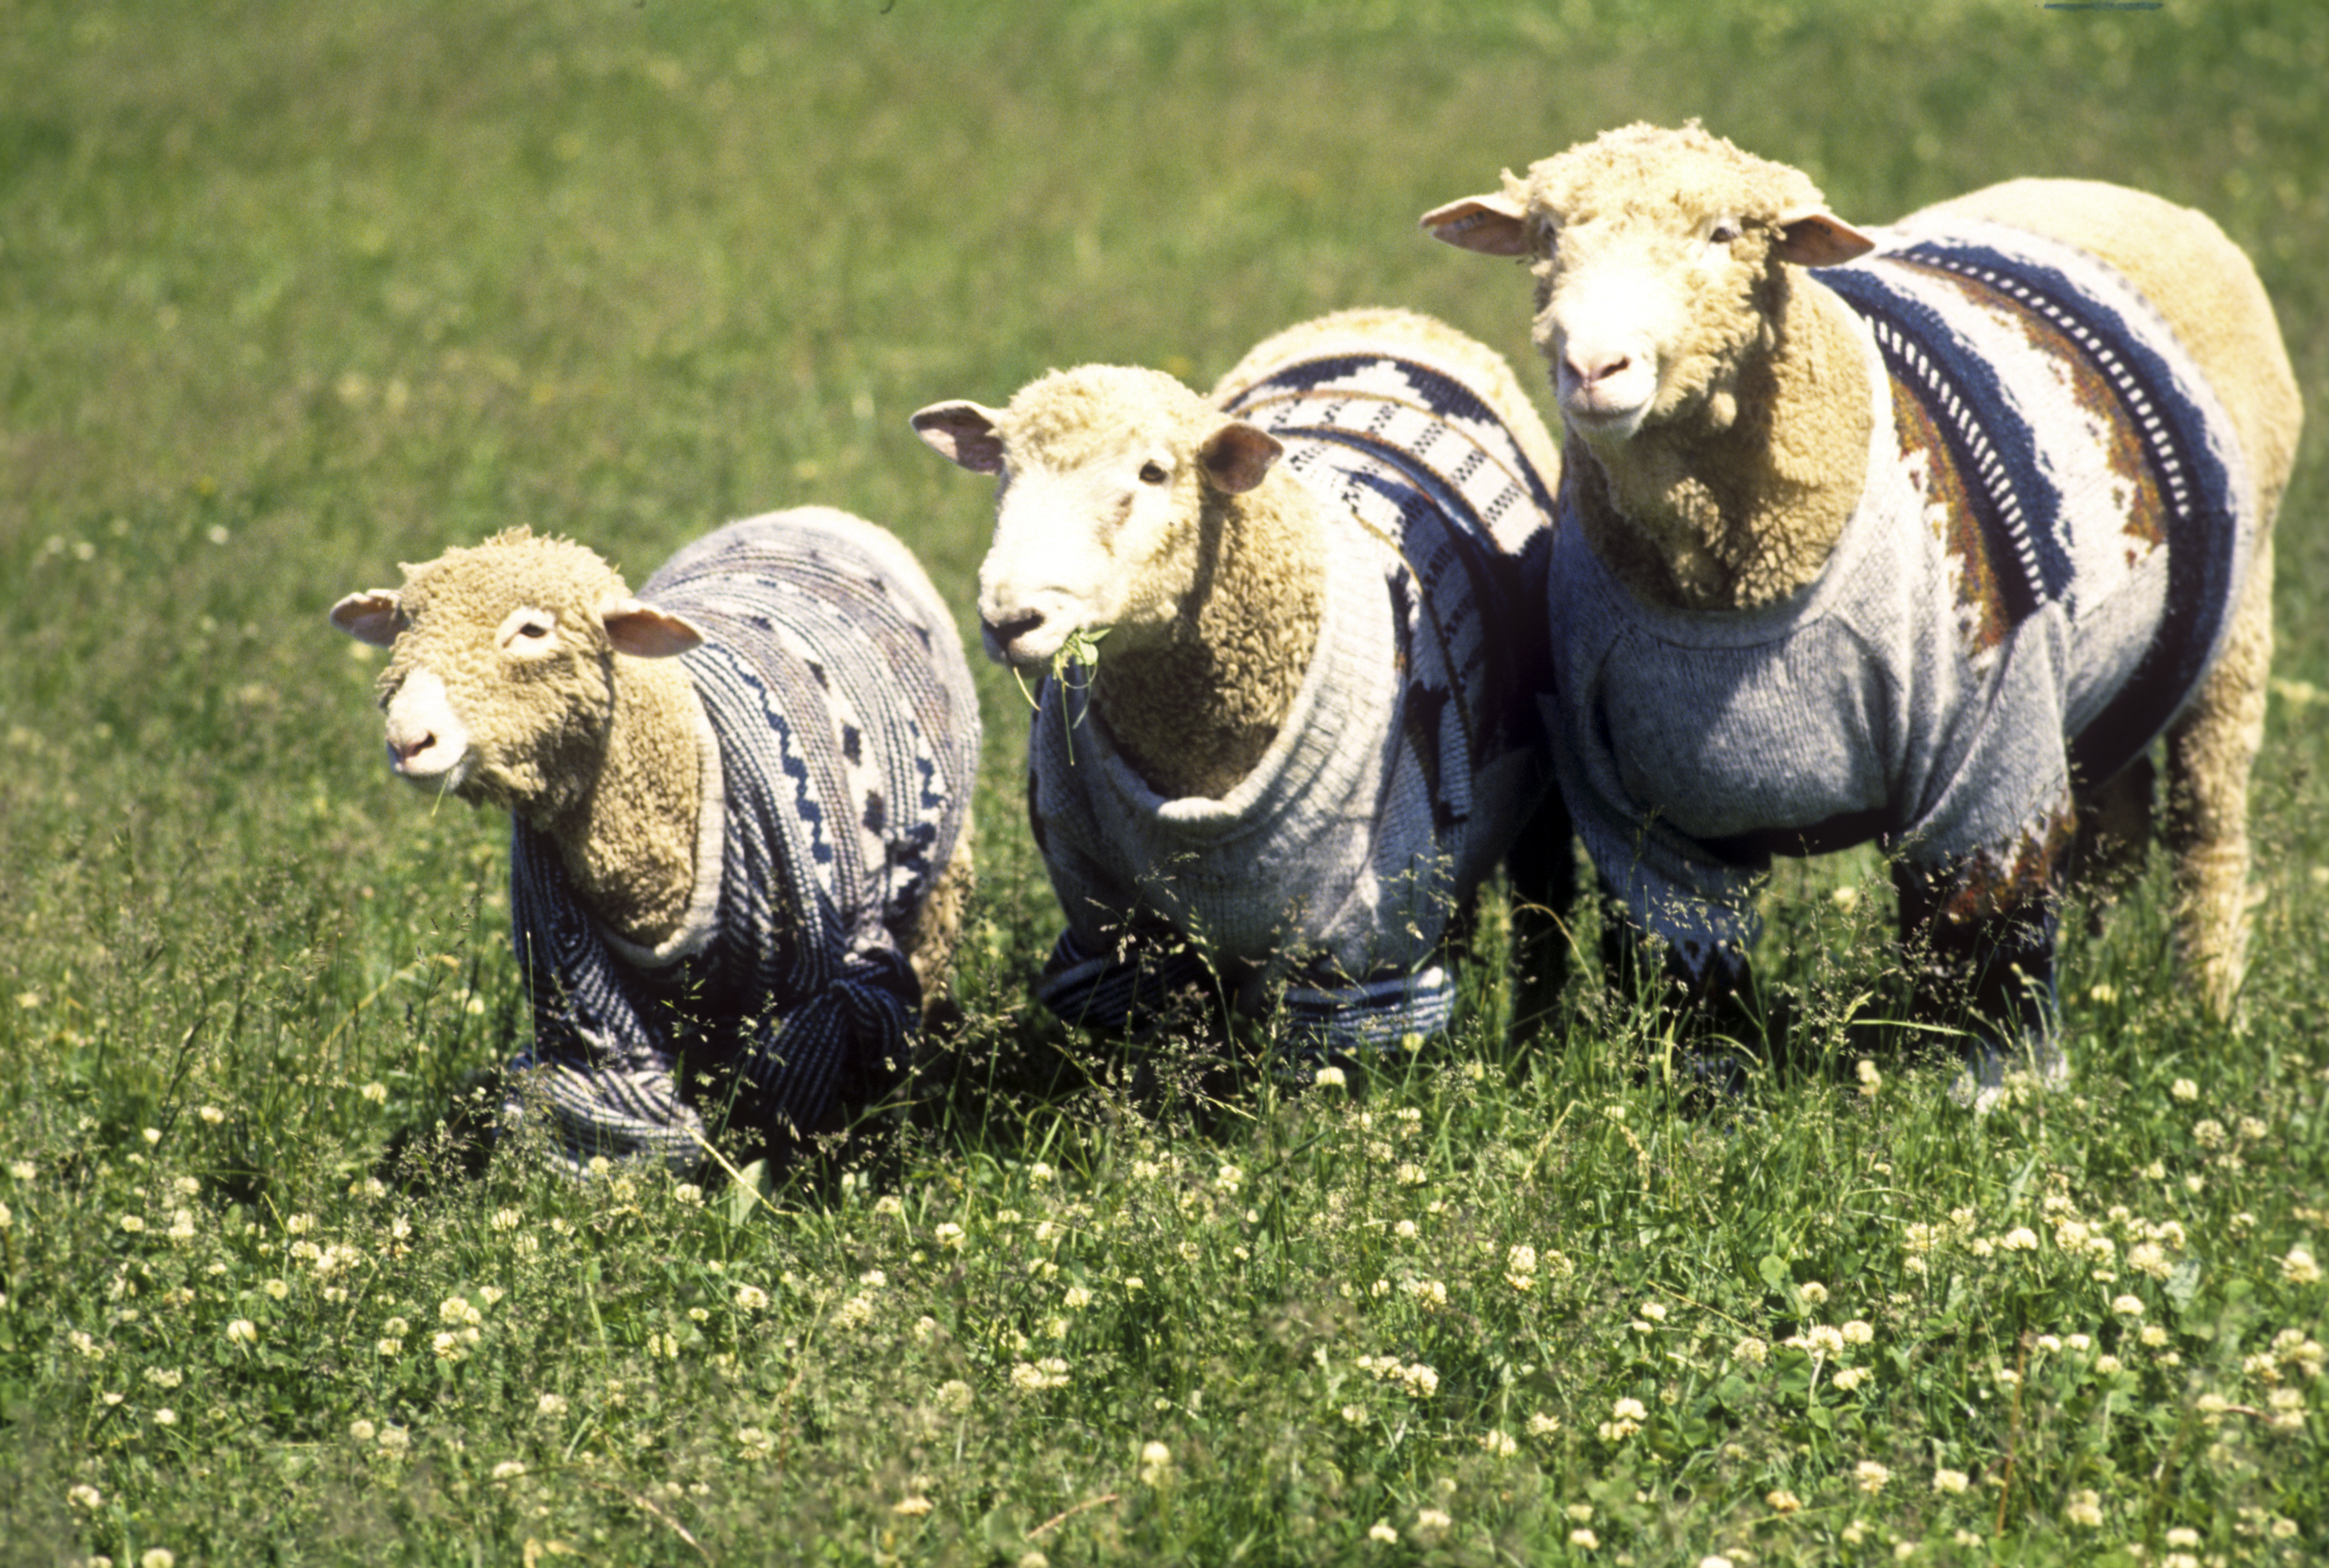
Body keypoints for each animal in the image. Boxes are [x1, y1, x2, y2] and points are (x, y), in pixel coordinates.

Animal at [331, 508, 982, 1169]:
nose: (409, 740)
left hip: (938, 885)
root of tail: (815, 512)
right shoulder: (580, 979)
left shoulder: (823, 987)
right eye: (404, 626)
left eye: (533, 630)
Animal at [908, 307, 1565, 1053]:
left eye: (1154, 472)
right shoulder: (1117, 929)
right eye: (1006, 474)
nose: (1011, 619)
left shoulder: (1353, 954)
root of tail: (1381, 315)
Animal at [1425, 122, 2301, 1099]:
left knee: (2205, 826)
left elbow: (1981, 929)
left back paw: (2207, 1001)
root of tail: (2109, 191)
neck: (1734, 587)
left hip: (2236, 628)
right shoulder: (1635, 810)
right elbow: (1689, 959)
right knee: (2120, 822)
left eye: (1724, 234)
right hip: (2108, 682)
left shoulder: (1986, 752)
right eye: (1544, 236)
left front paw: (1995, 1090)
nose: (1591, 367)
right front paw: (1704, 1092)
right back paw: (2109, 965)